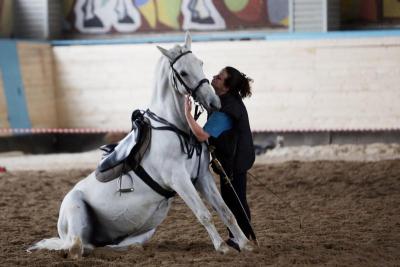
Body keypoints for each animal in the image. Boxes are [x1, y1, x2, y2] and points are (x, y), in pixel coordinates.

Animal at [28, 31, 253, 260]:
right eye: (183, 71)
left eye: (200, 63)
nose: (214, 103)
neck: (176, 128)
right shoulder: (179, 180)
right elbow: (204, 214)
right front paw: (222, 247)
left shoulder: (202, 177)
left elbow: (227, 212)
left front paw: (245, 244)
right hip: (75, 212)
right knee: (76, 247)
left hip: (143, 231)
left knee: (109, 245)